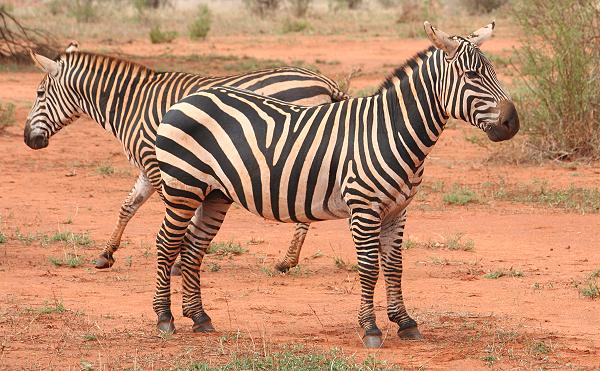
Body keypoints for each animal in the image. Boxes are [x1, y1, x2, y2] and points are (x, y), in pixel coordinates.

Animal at [23, 48, 350, 276]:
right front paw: (107, 254)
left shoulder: (159, 165)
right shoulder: (149, 165)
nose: (28, 139)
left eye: (39, 93)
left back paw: (286, 261)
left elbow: (179, 215)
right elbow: (128, 207)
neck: (129, 104)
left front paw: (179, 259)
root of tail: (325, 82)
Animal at [152, 21, 516, 348]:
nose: (513, 122)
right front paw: (370, 329)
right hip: (183, 187)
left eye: (493, 72)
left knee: (194, 245)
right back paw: (164, 318)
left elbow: (394, 267)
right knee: (167, 243)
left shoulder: (398, 210)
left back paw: (199, 317)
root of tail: (187, 99)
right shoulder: (364, 208)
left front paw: (405, 322)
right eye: (472, 76)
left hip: (214, 193)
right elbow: (369, 268)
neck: (390, 131)